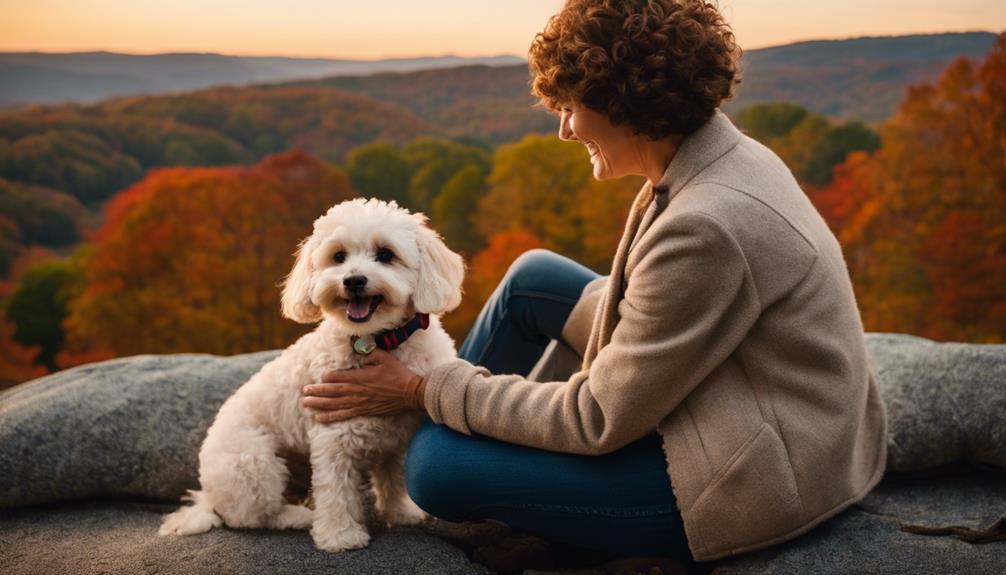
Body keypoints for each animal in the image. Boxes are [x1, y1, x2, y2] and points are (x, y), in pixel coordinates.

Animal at [158, 198, 464, 550]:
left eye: (386, 254)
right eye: (338, 257)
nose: (353, 280)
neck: (377, 340)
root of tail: (207, 497)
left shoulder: (398, 438)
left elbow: (393, 479)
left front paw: (400, 513)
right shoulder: (333, 437)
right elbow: (336, 491)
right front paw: (340, 535)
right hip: (254, 464)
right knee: (251, 517)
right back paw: (296, 517)